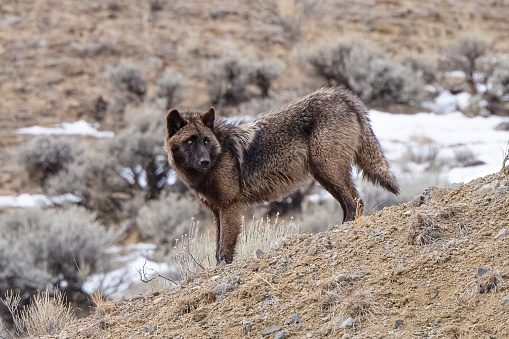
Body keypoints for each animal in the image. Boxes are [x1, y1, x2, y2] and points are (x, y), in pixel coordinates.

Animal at [165, 86, 398, 264]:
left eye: (205, 141)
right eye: (190, 141)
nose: (204, 161)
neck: (219, 152)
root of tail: (342, 95)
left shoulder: (230, 206)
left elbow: (224, 248)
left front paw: (223, 267)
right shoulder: (216, 210)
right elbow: (217, 247)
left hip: (329, 171)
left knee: (355, 201)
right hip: (324, 176)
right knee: (351, 202)